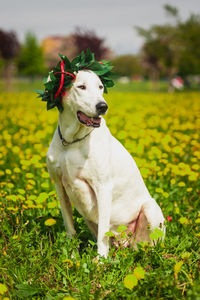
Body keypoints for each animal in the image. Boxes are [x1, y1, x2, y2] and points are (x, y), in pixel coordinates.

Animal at [46, 69, 164, 256]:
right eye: (81, 86)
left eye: (100, 87)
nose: (102, 106)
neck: (72, 142)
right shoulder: (59, 185)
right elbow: (69, 226)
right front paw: (71, 255)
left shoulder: (103, 187)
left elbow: (103, 232)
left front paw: (101, 259)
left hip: (150, 209)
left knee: (148, 247)